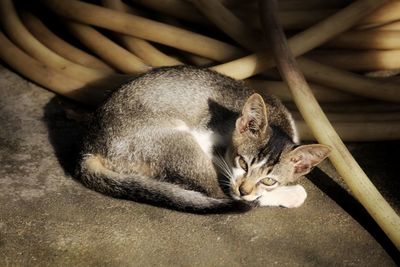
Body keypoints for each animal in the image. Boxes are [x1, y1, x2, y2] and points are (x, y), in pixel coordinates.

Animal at [76, 65, 330, 214]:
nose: (245, 189)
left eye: (269, 180)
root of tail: (90, 145)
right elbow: (231, 186)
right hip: (176, 144)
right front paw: (288, 193)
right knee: (222, 194)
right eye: (243, 163)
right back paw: (290, 195)